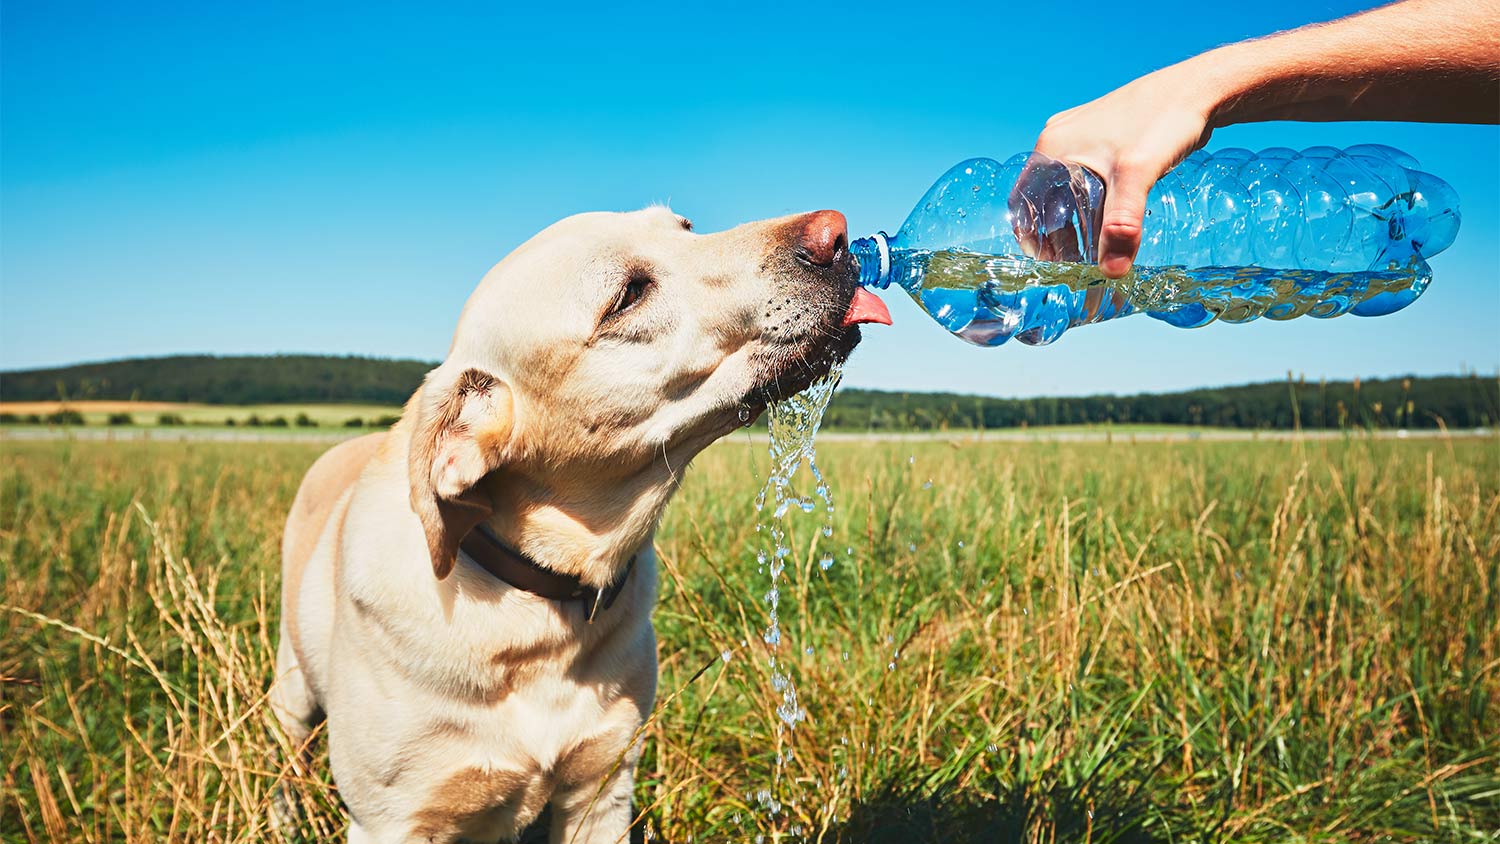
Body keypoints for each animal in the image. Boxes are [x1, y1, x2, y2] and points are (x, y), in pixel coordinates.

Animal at [271, 206, 888, 844]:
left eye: (686, 227)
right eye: (627, 295)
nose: (836, 233)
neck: (537, 610)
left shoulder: (603, 787)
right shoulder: (392, 819)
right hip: (291, 687)